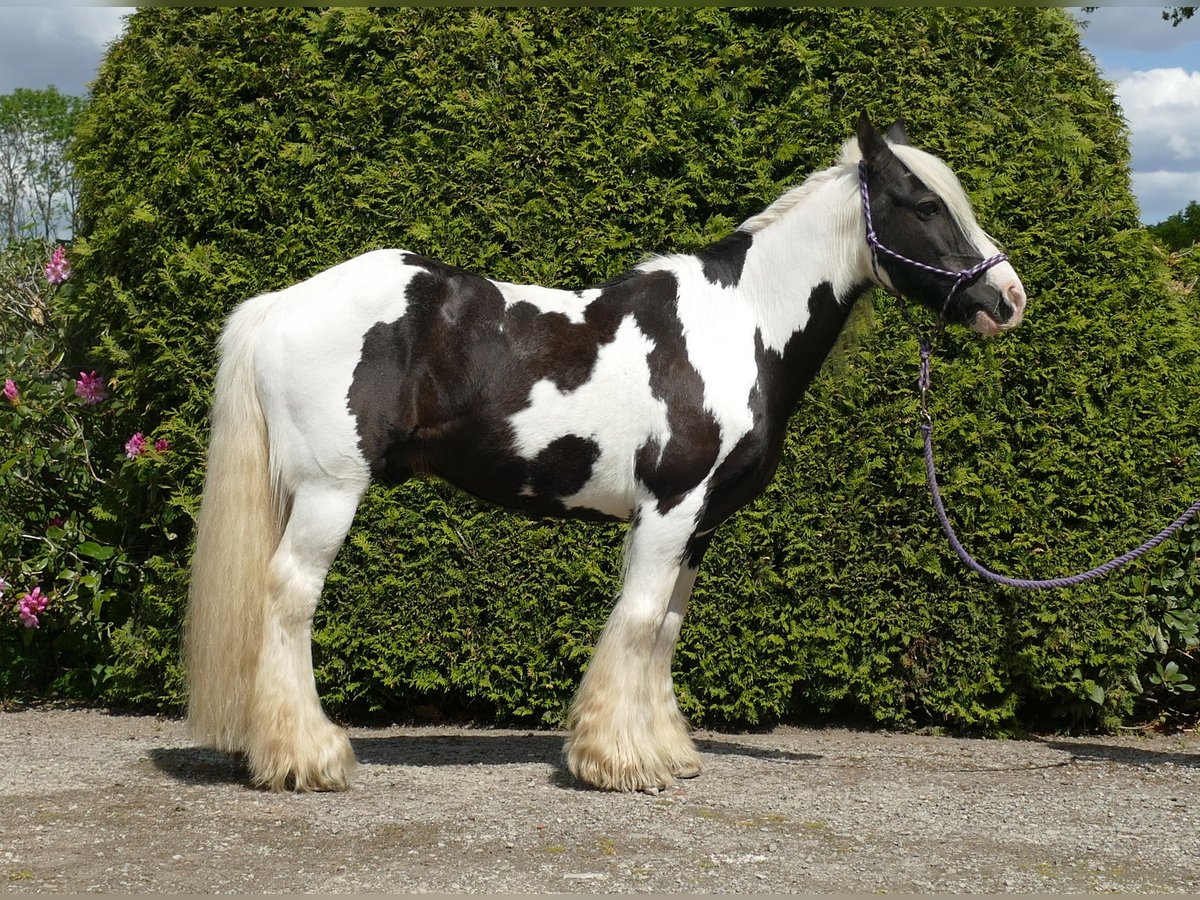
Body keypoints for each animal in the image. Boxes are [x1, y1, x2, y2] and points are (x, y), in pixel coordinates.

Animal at [183, 113, 1027, 793]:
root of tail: (281, 304)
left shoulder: (699, 526)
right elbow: (641, 619)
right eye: (926, 205)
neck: (740, 324)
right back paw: (308, 758)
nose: (1009, 299)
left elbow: (667, 628)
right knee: (290, 595)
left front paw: (667, 749)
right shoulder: (669, 509)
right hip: (330, 490)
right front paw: (620, 762)